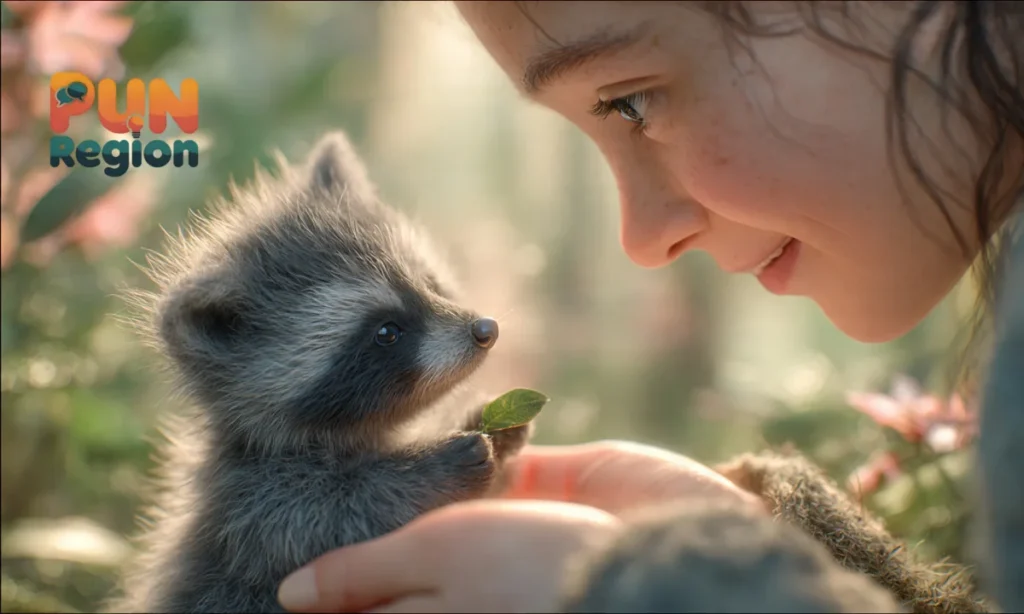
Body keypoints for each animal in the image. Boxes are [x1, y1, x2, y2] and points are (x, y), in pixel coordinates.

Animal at [110, 132, 531, 613]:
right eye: (387, 332)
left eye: (430, 284)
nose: (485, 330)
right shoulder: (250, 500)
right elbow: (323, 520)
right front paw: (422, 472)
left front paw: (493, 426)